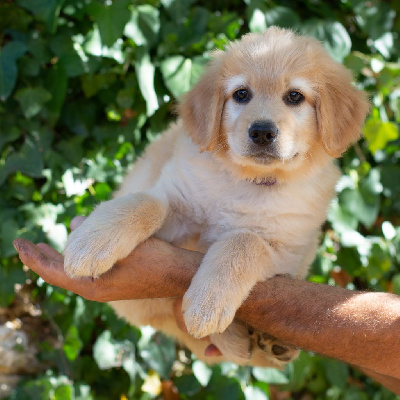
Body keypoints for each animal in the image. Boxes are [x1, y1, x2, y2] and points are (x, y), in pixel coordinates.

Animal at [63, 26, 368, 368]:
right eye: (241, 94)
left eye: (294, 97)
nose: (262, 132)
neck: (247, 182)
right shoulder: (178, 199)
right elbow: (146, 202)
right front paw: (92, 241)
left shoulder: (288, 251)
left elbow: (243, 241)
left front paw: (208, 301)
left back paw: (266, 342)